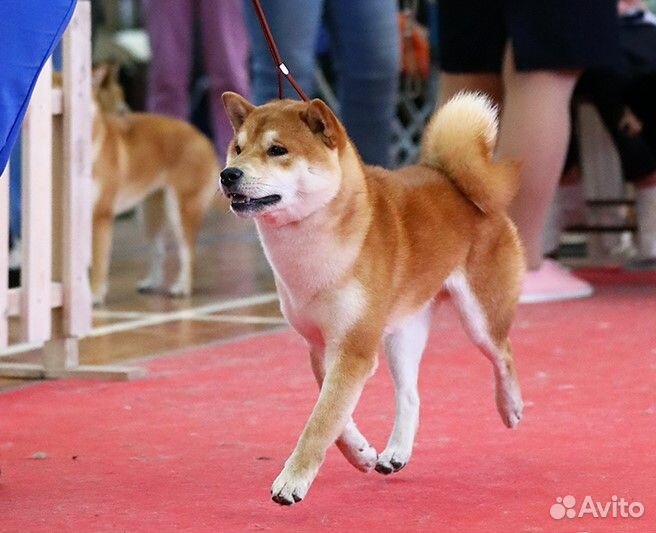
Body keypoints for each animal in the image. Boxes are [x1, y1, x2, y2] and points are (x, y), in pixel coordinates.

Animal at [89, 64, 220, 304]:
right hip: (149, 214)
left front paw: (94, 295)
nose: (125, 111)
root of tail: (202, 137)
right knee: (158, 250)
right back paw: (151, 282)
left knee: (188, 253)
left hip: (179, 210)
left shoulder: (100, 217)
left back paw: (182, 287)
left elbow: (99, 263)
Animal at [223, 90, 524, 502]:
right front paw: (360, 453)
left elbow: (321, 421)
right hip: (403, 332)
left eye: (277, 150)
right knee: (410, 394)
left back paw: (510, 406)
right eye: (237, 149)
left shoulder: (353, 347)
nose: (228, 175)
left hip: (480, 316)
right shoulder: (322, 346)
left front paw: (293, 479)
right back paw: (396, 452)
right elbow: (336, 418)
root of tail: (451, 180)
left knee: (503, 353)